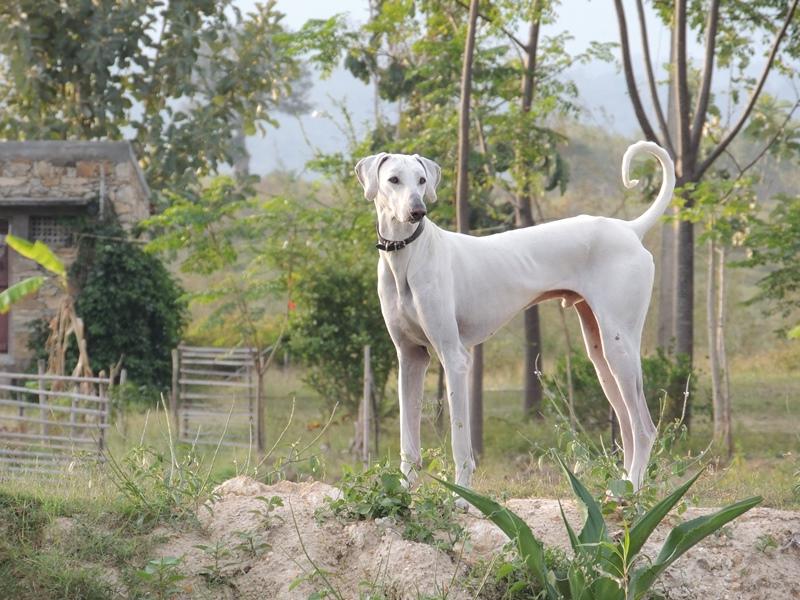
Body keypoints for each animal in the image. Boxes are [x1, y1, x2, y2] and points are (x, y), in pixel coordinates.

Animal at [356, 141, 676, 492]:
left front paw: (460, 495)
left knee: (644, 429)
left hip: (620, 347)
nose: (418, 211)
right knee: (628, 427)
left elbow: (460, 443)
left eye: (422, 180)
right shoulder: (410, 358)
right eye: (394, 179)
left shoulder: (455, 359)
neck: (408, 257)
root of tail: (630, 229)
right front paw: (404, 493)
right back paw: (620, 489)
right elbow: (408, 443)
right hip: (602, 355)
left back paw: (631, 489)